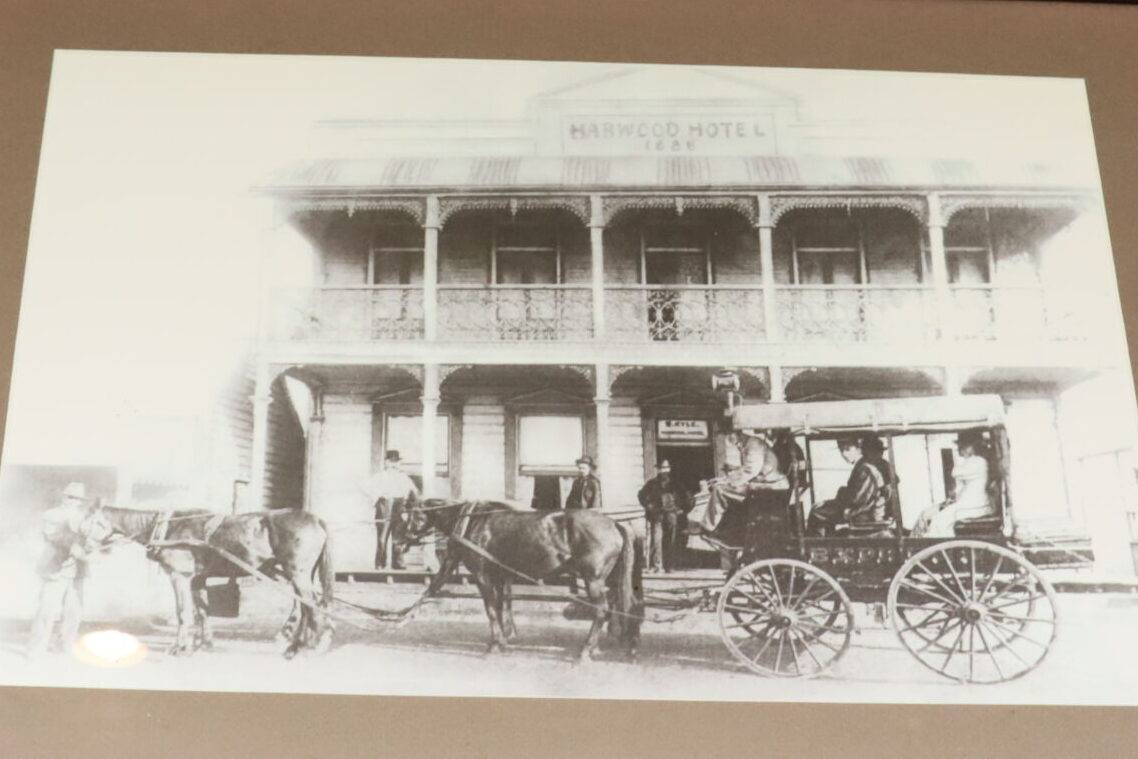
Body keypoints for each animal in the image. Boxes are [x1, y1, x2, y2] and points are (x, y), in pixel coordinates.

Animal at [84, 505, 332, 660]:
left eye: (91, 522)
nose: (82, 549)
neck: (169, 528)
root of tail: (316, 518)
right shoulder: (197, 579)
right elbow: (202, 611)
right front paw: (201, 645)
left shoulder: (180, 577)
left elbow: (183, 612)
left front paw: (179, 647)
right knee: (305, 604)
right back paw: (295, 645)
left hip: (297, 573)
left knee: (311, 606)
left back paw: (306, 647)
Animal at [393, 496, 641, 660]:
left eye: (406, 516)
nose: (397, 544)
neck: (472, 521)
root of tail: (614, 524)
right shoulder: (498, 576)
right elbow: (499, 606)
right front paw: (503, 639)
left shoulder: (483, 576)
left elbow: (491, 609)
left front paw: (495, 645)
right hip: (611, 579)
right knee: (626, 605)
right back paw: (623, 644)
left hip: (594, 580)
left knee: (601, 611)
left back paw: (586, 650)